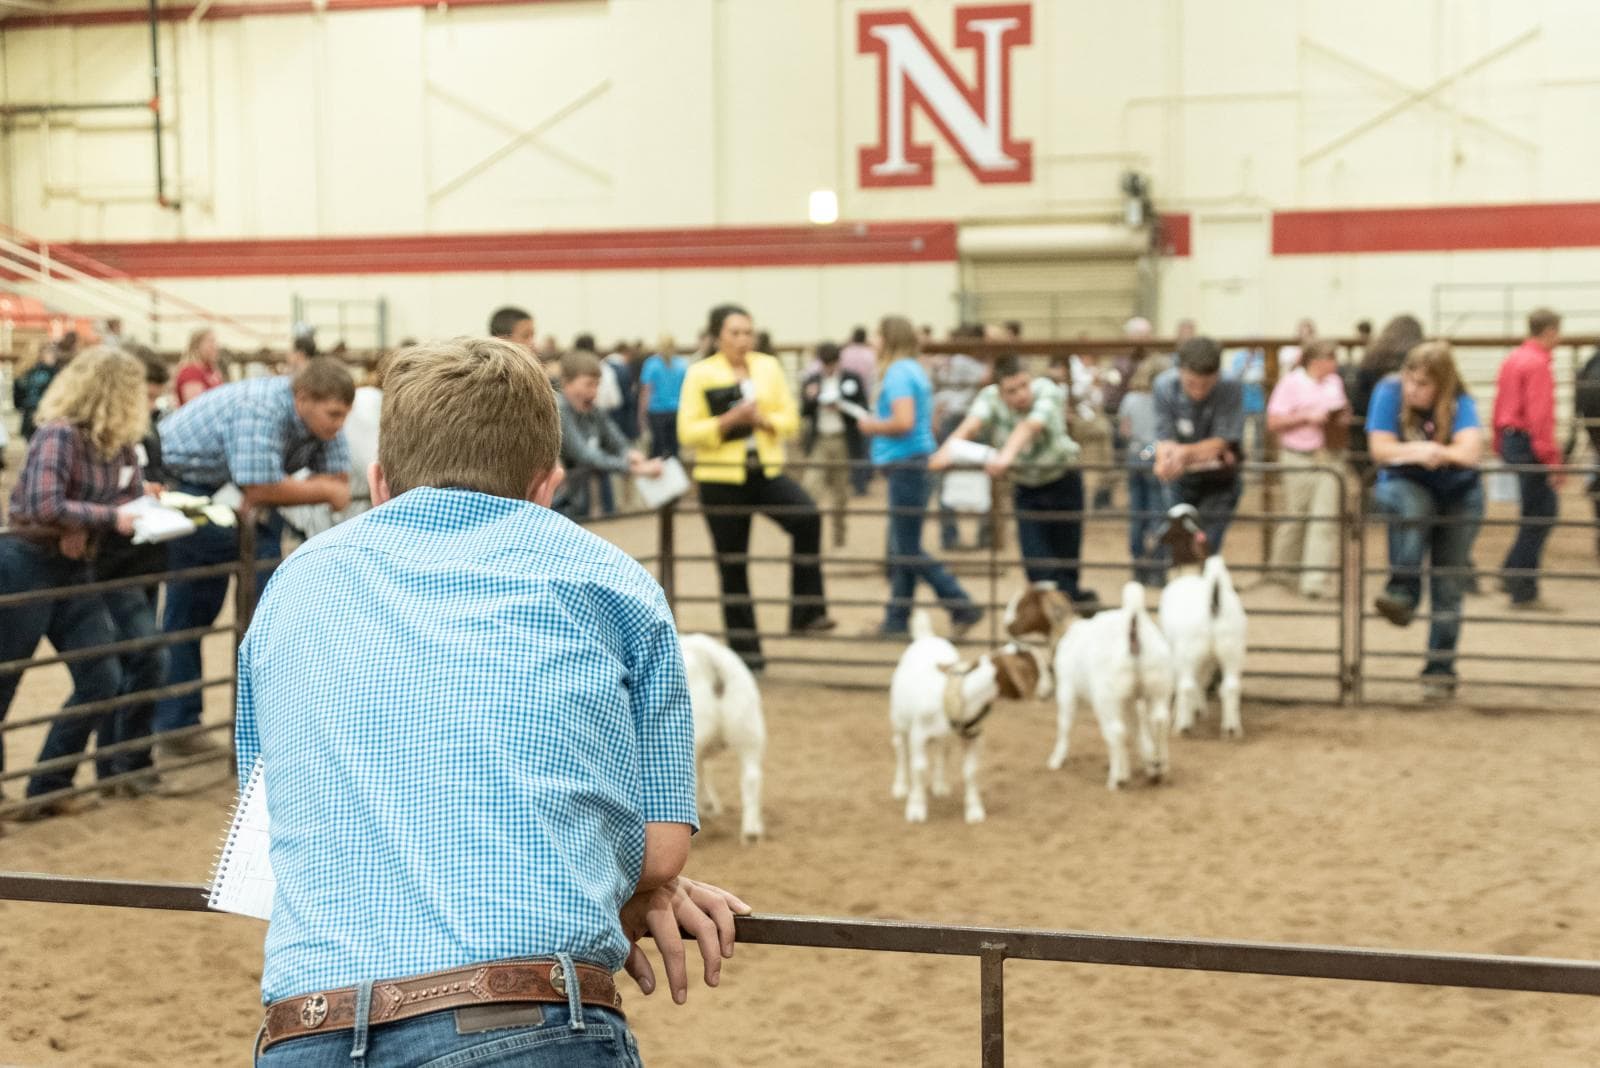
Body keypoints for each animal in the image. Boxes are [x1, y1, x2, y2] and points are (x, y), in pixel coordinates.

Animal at [889, 607, 1036, 824]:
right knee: (900, 749)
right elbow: (919, 768)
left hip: (944, 735)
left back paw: (940, 785)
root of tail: (926, 637)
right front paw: (916, 809)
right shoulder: (918, 736)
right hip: (899, 722)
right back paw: (900, 787)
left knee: (943, 750)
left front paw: (974, 811)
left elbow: (970, 770)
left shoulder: (973, 735)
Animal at [1049, 578, 1177, 789]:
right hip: (1158, 685)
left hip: (1107, 697)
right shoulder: (1130, 699)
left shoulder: (1067, 688)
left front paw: (1056, 759)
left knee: (1116, 731)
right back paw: (1159, 766)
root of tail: (1133, 623)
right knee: (1159, 721)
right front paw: (1149, 762)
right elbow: (1137, 729)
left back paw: (1117, 778)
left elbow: (1065, 724)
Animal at [1164, 505, 1248, 738]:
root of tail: (1213, 600)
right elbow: (1204, 679)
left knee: (1187, 684)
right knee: (1230, 686)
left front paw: (1187, 712)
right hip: (1231, 649)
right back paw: (1231, 728)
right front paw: (1199, 709)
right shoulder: (1209, 657)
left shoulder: (1176, 650)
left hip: (1190, 650)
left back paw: (1182, 726)